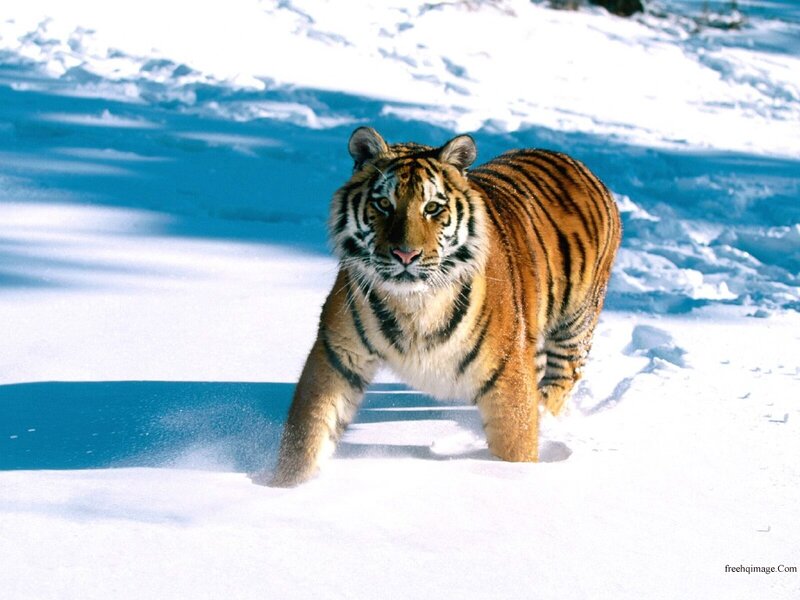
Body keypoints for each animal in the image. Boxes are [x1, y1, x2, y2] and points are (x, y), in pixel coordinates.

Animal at [269, 127, 621, 487]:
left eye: (433, 207)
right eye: (383, 204)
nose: (405, 254)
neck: (413, 304)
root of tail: (574, 162)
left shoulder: (507, 373)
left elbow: (516, 443)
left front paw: (513, 475)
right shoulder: (338, 353)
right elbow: (309, 432)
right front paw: (281, 486)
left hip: (573, 328)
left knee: (560, 381)